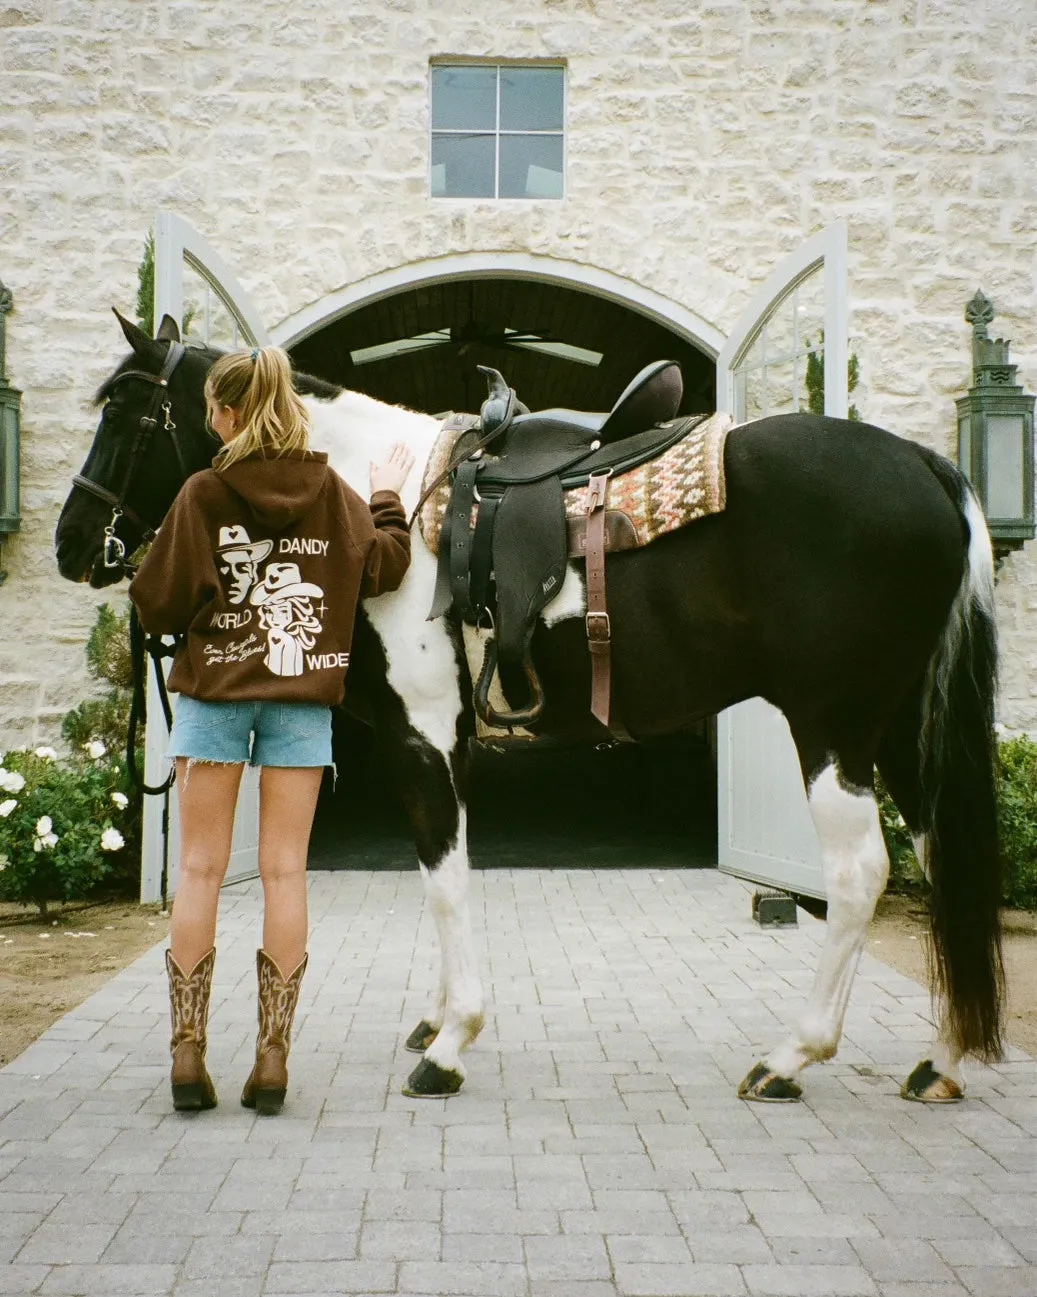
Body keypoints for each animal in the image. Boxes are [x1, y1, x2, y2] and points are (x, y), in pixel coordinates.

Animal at [54, 313, 1005, 1105]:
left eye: (125, 412)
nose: (71, 542)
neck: (380, 504)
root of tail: (921, 465)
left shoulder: (421, 734)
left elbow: (443, 879)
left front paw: (449, 1047)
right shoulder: (448, 741)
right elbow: (448, 870)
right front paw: (439, 1021)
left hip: (833, 725)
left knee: (859, 875)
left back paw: (789, 1058)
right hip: (901, 732)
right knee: (942, 861)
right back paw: (941, 1060)